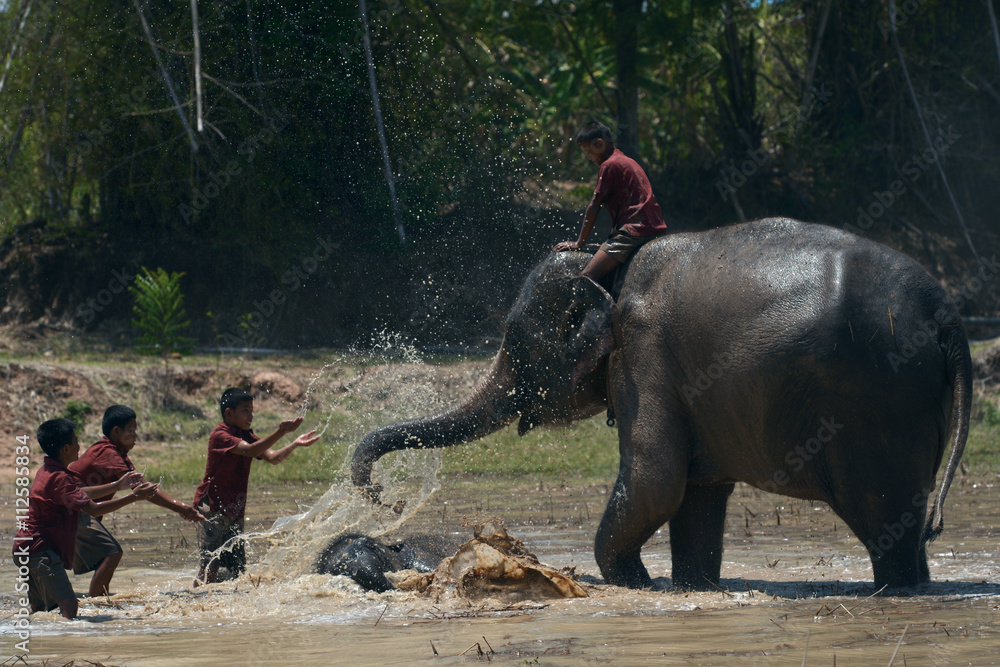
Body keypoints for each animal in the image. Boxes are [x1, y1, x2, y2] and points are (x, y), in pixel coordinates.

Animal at [352, 218, 971, 591]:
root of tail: (948, 316)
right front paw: (688, 586)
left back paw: (893, 590)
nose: (383, 497)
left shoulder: (643, 354)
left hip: (877, 407)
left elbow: (655, 478)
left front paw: (635, 584)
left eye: (513, 339)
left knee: (883, 518)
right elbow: (695, 493)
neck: (609, 273)